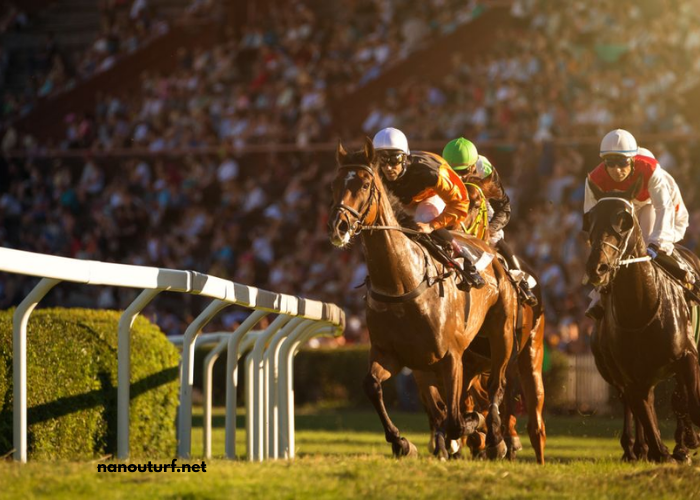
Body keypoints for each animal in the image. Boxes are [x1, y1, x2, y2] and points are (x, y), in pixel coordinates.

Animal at [330, 139, 520, 458]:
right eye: (335, 183)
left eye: (365, 184)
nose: (339, 226)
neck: (401, 282)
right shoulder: (391, 354)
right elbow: (372, 385)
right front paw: (401, 442)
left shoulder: (450, 357)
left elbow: (456, 421)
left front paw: (472, 427)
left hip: (501, 333)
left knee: (497, 384)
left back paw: (496, 438)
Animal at [584, 179, 700, 460]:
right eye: (589, 219)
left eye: (624, 220)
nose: (597, 268)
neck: (641, 308)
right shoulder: (629, 375)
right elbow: (645, 414)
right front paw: (658, 449)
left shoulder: (688, 355)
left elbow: (689, 403)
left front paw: (684, 443)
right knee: (633, 403)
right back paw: (635, 448)